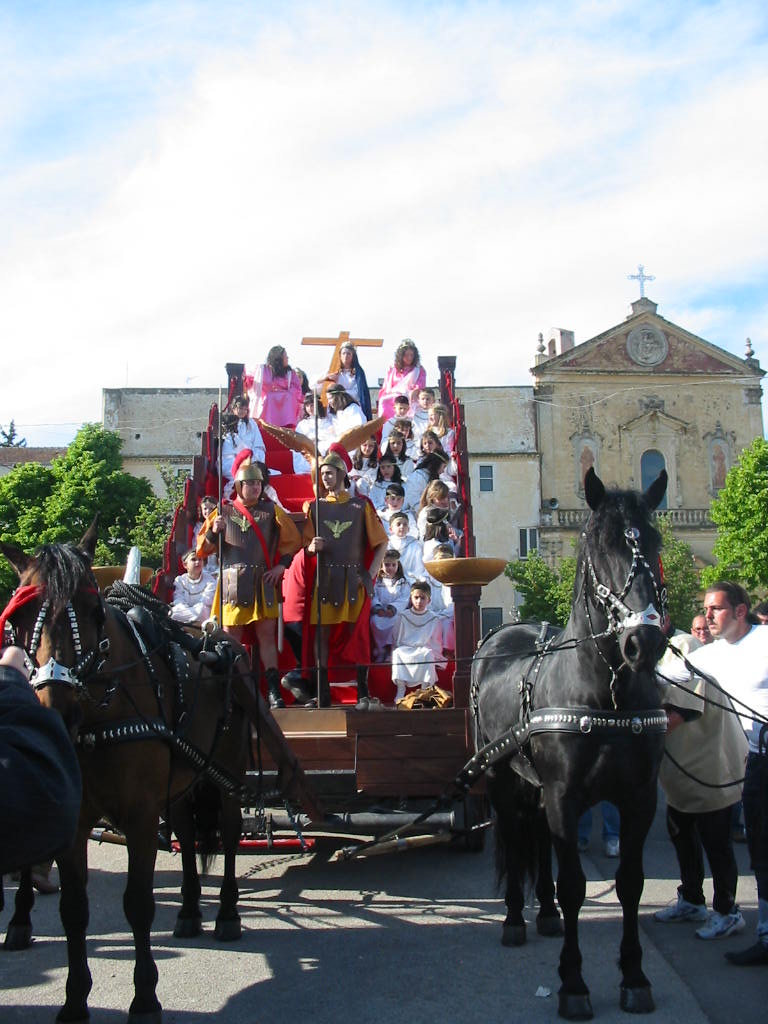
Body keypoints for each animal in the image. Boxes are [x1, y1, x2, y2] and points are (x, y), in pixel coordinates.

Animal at [0, 528, 262, 1024]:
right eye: (20, 617)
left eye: (92, 611)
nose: (56, 709)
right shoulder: (74, 819)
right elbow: (74, 909)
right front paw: (74, 1001)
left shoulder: (140, 817)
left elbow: (138, 905)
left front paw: (144, 999)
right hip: (183, 779)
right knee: (186, 834)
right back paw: (190, 910)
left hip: (227, 772)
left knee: (230, 832)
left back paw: (226, 914)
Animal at [473, 468, 671, 1019]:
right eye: (600, 547)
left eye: (654, 543)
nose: (644, 642)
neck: (608, 697)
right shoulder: (565, 795)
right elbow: (577, 886)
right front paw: (574, 984)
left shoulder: (638, 798)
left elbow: (630, 883)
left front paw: (635, 977)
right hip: (500, 777)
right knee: (514, 836)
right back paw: (515, 918)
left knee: (538, 840)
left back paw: (543, 912)